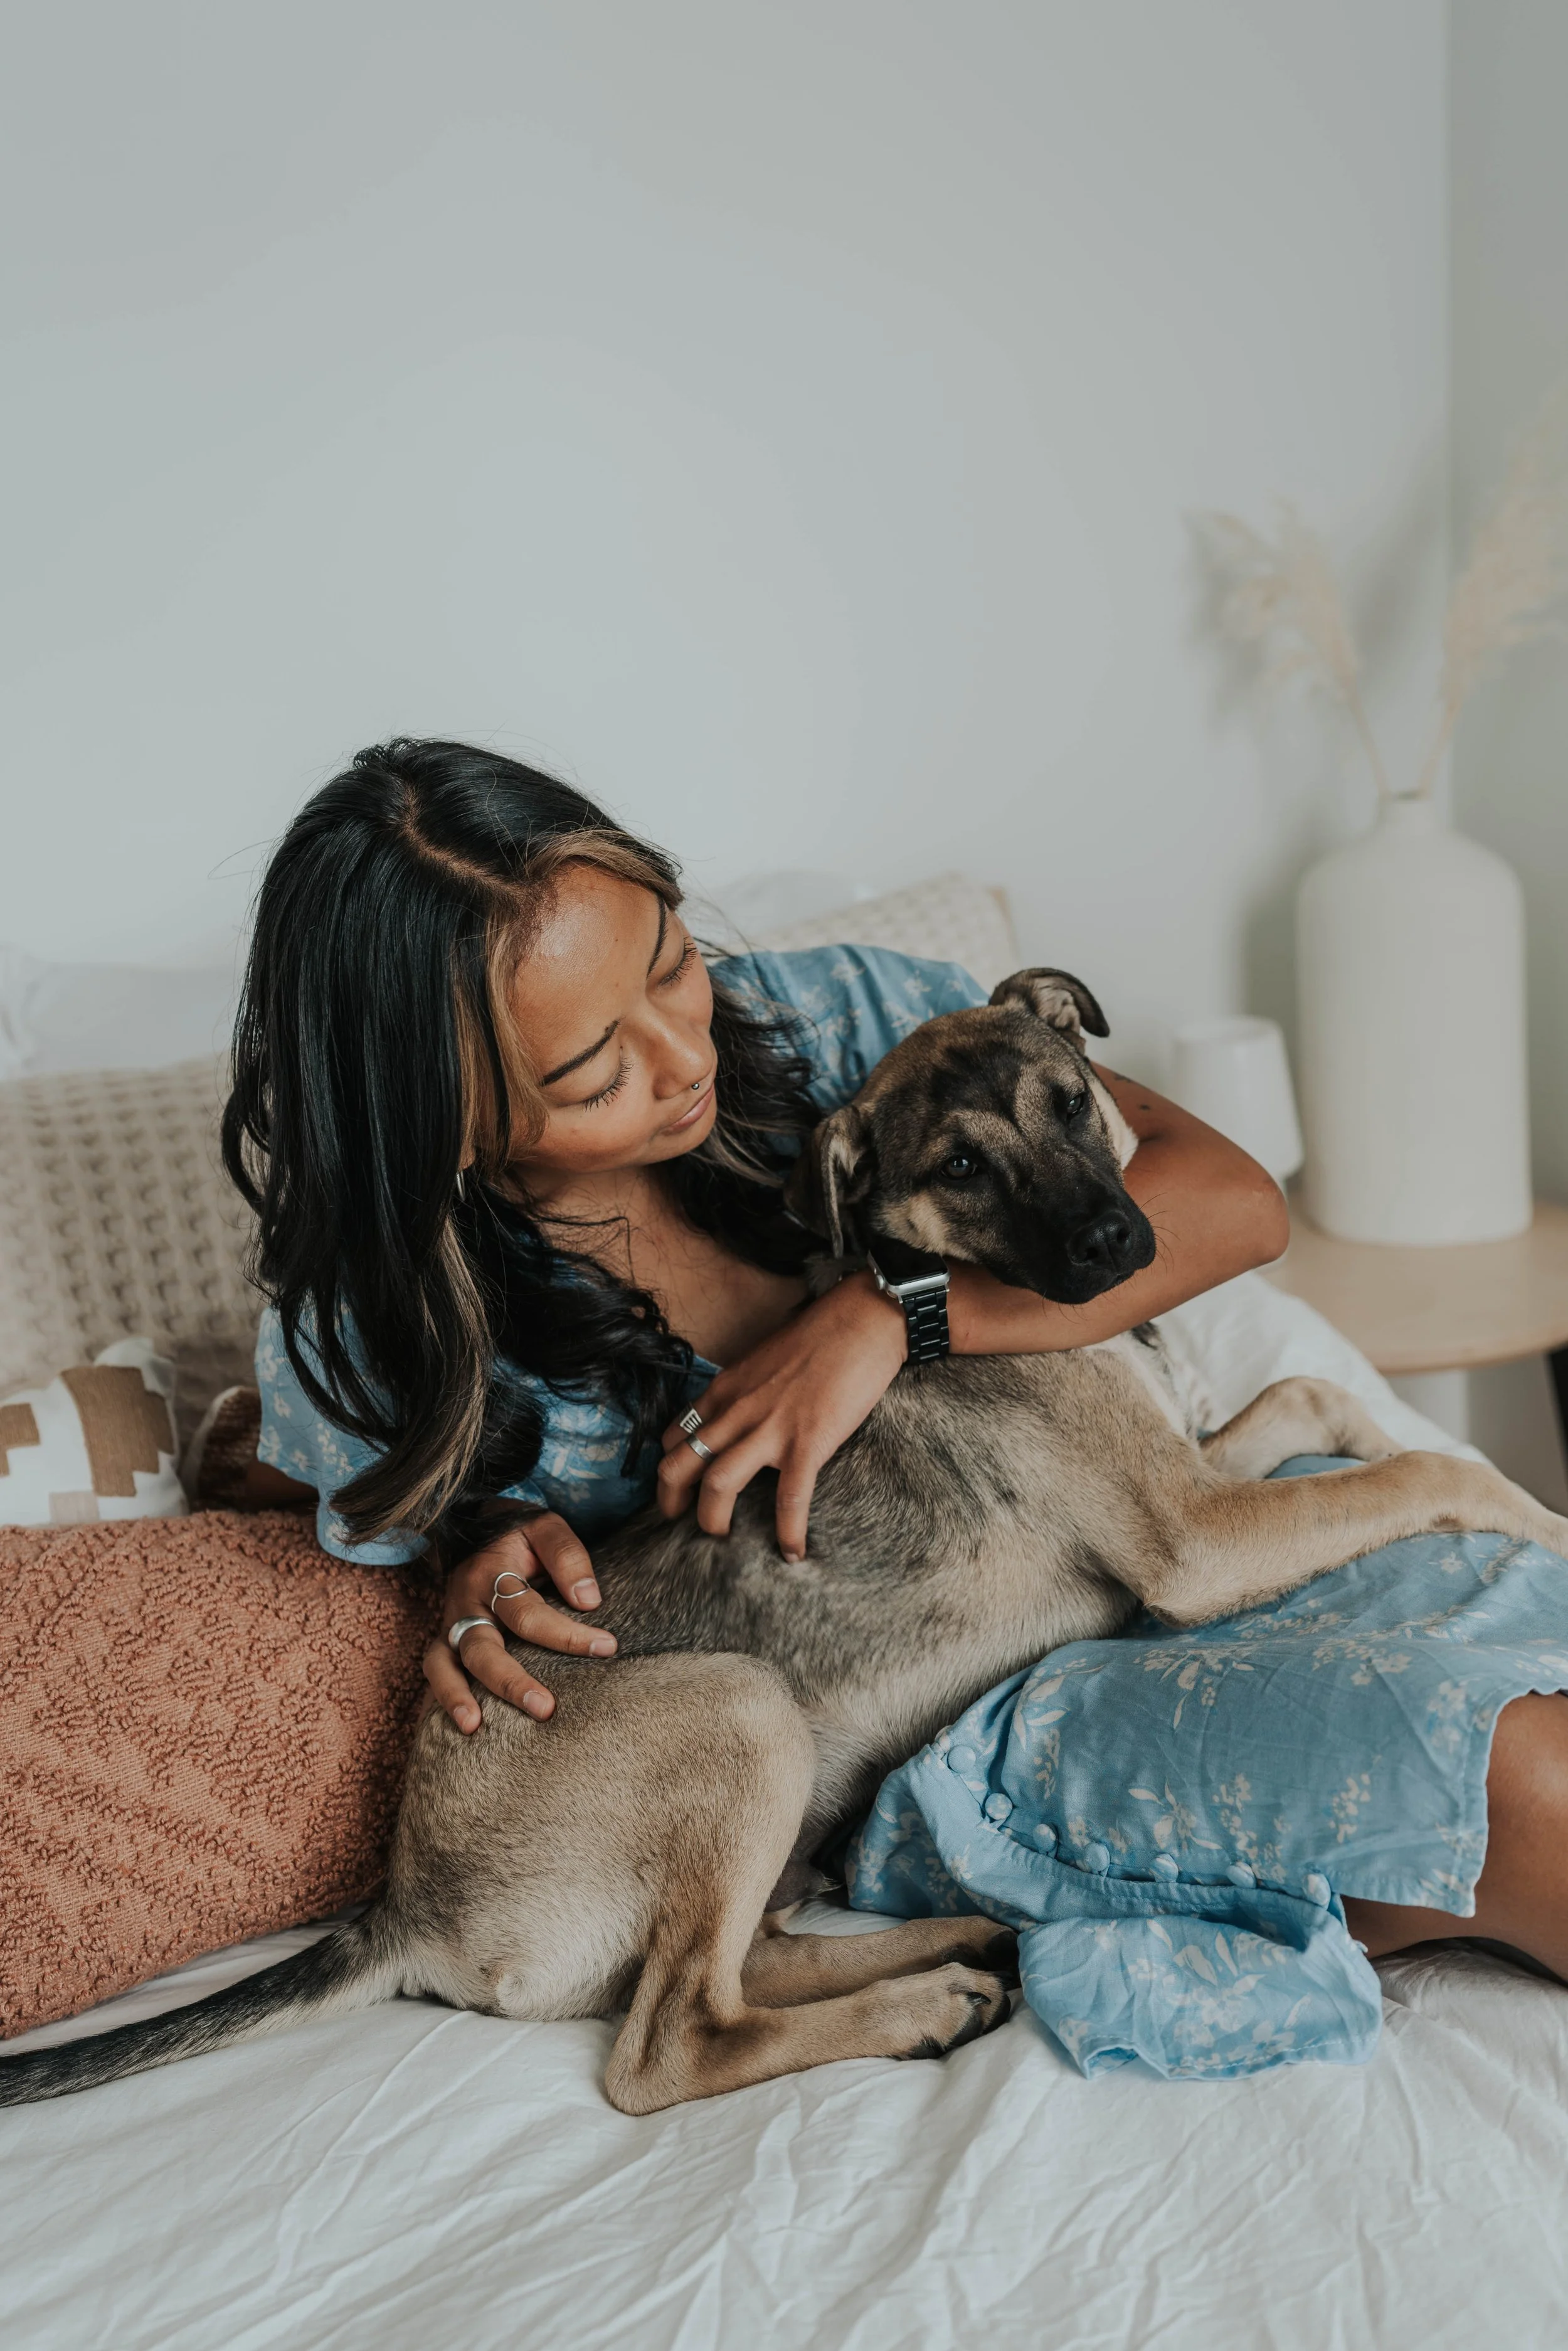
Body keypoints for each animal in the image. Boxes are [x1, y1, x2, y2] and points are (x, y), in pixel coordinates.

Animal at [9, 969, 1568, 2113]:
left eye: (1072, 1101)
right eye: (961, 1165)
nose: (1117, 1246)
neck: (938, 1288)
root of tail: (404, 1905)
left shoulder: (1199, 1478)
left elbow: (1316, 1397)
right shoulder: (1193, 1537)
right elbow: (1419, 1462)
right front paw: (1532, 1511)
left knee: (742, 1958)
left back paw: (954, 1941)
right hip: (738, 1708)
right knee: (667, 2042)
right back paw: (925, 1997)